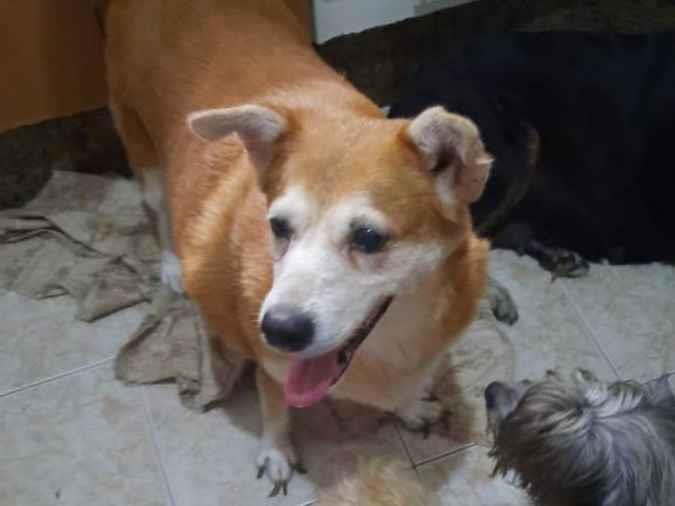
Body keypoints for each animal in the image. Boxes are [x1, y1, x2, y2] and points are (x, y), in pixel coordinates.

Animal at [103, 0, 493, 494]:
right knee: (158, 207)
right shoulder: (271, 366)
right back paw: (173, 264)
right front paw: (276, 450)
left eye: (368, 237)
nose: (279, 329)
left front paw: (410, 407)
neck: (388, 345)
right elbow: (274, 404)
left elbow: (408, 387)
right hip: (140, 145)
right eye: (279, 226)